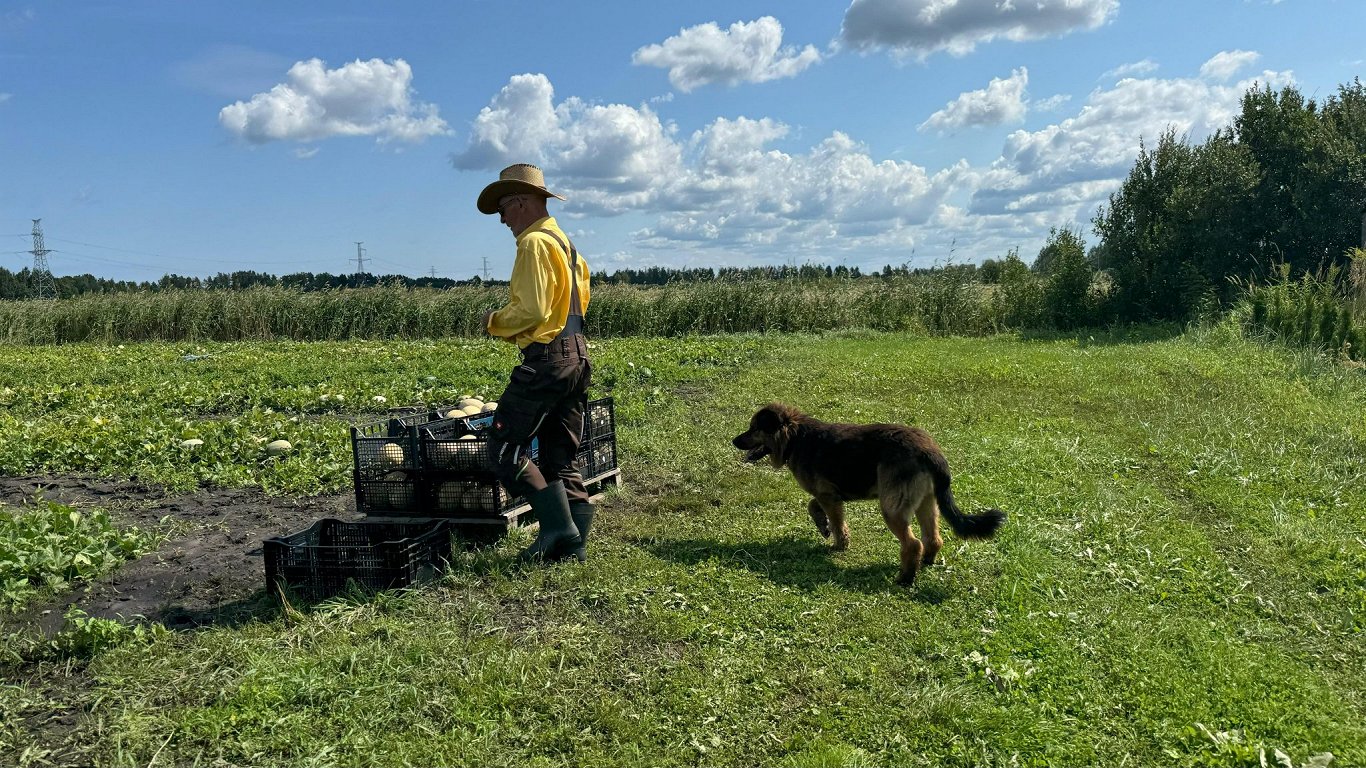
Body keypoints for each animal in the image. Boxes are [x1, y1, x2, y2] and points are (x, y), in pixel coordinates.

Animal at [732, 404, 1010, 582]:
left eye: (754, 429)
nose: (734, 441)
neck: (794, 436)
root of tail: (931, 451)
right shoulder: (830, 495)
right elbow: (813, 506)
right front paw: (823, 526)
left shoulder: (829, 496)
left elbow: (835, 522)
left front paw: (838, 544)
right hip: (927, 504)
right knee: (933, 538)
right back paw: (926, 563)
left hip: (892, 508)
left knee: (913, 543)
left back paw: (905, 578)